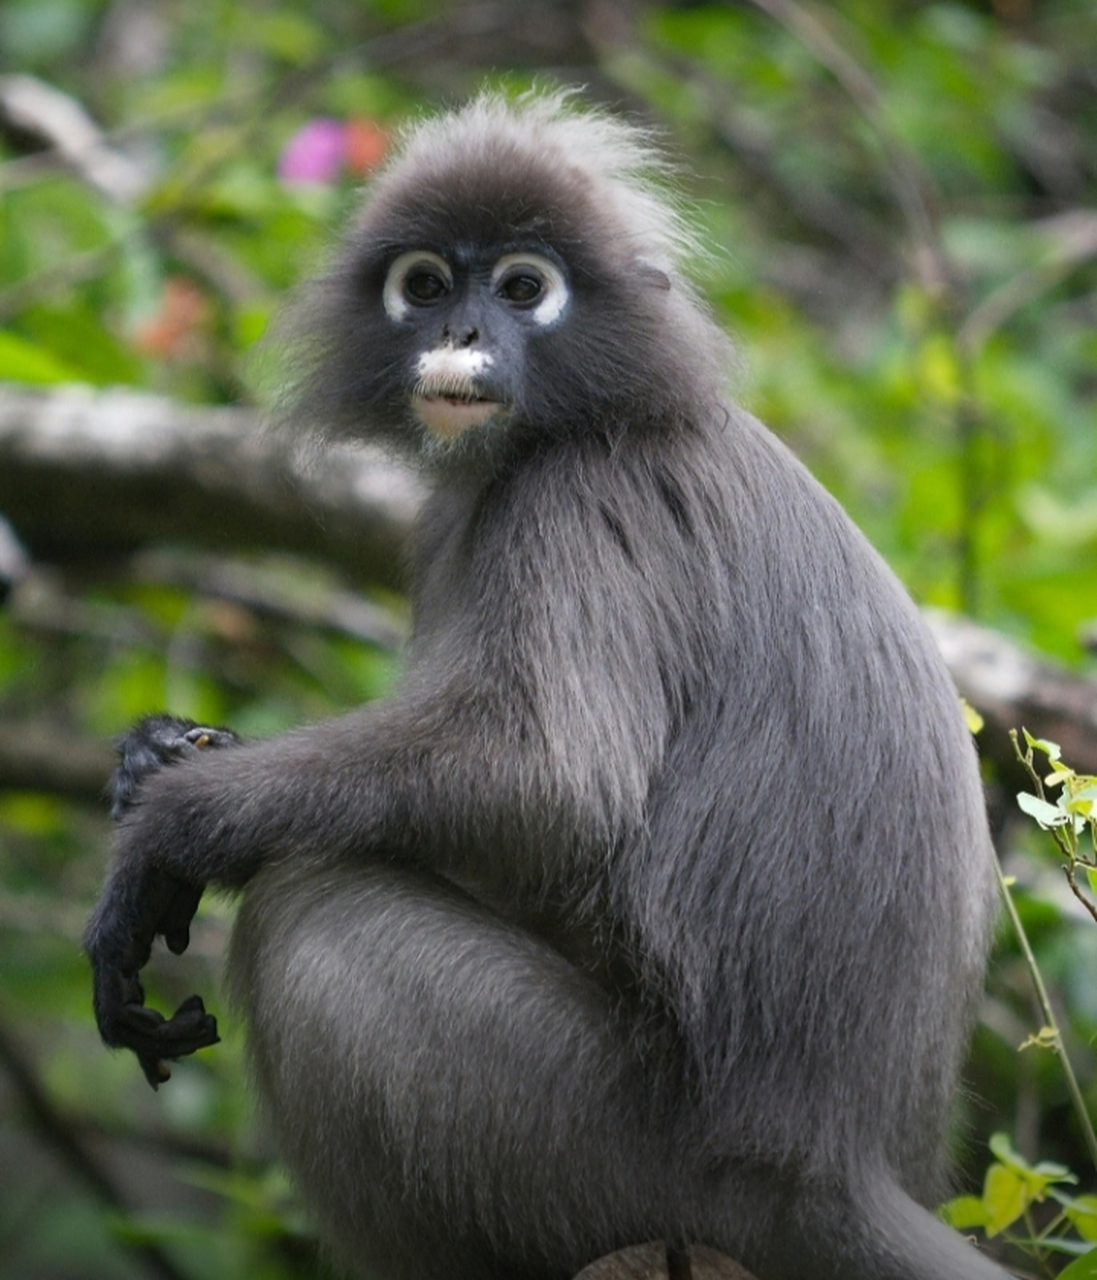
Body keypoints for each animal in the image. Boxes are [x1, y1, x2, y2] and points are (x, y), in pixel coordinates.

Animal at [85, 92, 1008, 1280]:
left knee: (308, 914)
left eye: (525, 288)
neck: (591, 419)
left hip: (622, 1151)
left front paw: (165, 830)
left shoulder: (575, 500)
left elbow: (544, 781)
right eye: (426, 284)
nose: (462, 336)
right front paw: (160, 750)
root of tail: (837, 1168)